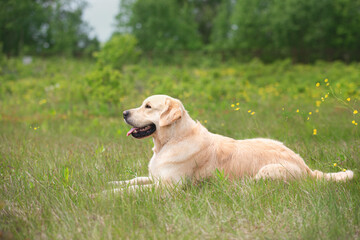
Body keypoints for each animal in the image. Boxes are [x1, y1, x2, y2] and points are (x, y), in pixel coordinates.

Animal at [107, 94, 354, 192]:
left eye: (148, 106)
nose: (124, 113)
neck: (172, 140)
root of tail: (306, 168)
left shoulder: (170, 187)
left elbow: (133, 191)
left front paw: (106, 194)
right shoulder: (156, 177)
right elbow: (134, 180)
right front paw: (111, 183)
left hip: (268, 172)